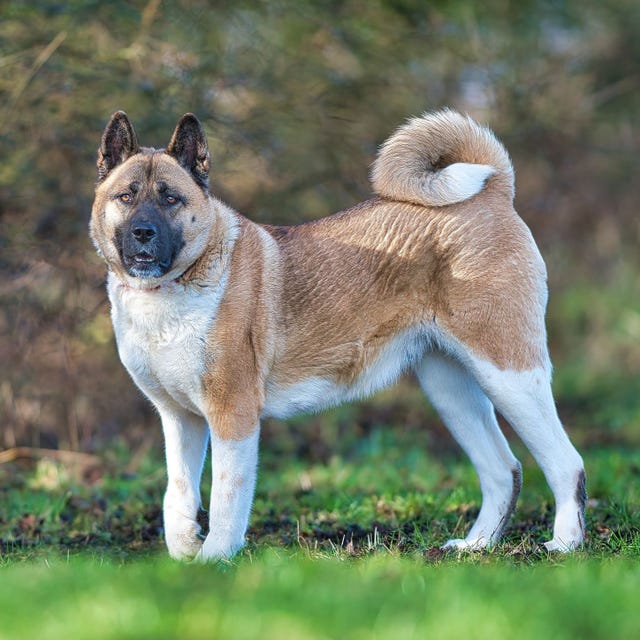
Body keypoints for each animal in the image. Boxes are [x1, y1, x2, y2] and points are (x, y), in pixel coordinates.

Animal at [90, 109, 584, 560]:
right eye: (126, 196)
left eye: (171, 199)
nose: (142, 232)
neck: (171, 290)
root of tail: (494, 192)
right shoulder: (180, 419)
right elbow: (178, 495)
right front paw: (185, 553)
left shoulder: (233, 415)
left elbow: (227, 497)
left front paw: (214, 559)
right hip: (451, 388)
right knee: (504, 470)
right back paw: (475, 546)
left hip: (509, 373)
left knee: (566, 464)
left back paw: (563, 544)